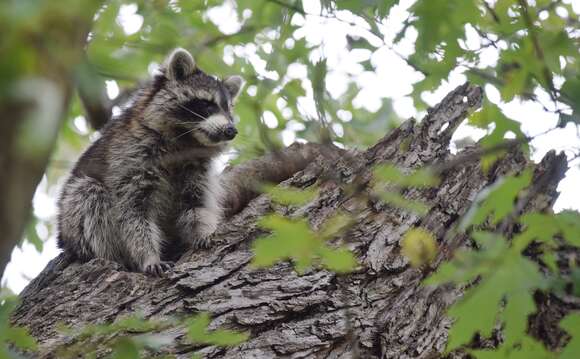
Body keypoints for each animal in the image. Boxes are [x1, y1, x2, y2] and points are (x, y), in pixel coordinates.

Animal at [60, 48, 246, 276]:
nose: (231, 130)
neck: (186, 141)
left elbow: (195, 205)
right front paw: (148, 255)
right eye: (206, 104)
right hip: (71, 221)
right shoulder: (130, 157)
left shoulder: (196, 169)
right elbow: (132, 214)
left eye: (228, 111)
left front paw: (202, 232)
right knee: (89, 193)